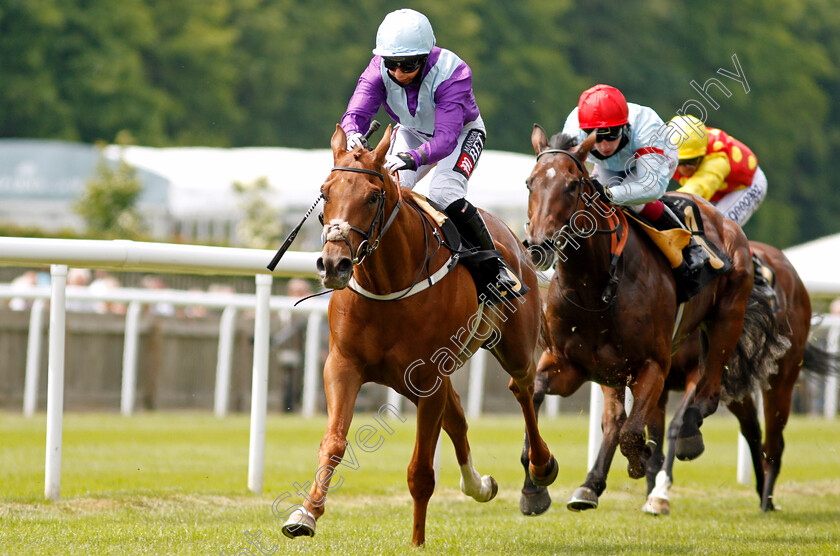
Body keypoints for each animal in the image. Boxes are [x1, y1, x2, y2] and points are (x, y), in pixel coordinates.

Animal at [282, 124, 556, 544]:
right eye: (326, 192)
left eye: (372, 196)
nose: (333, 264)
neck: (389, 283)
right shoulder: (344, 365)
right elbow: (333, 443)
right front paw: (306, 514)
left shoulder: (429, 378)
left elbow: (421, 472)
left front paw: (417, 541)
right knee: (458, 416)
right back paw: (479, 485)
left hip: (514, 347)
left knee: (523, 390)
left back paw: (540, 470)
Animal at [520, 125, 784, 512]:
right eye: (530, 182)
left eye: (572, 184)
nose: (540, 245)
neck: (593, 289)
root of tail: (725, 224)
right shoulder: (567, 363)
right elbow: (536, 403)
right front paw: (535, 483)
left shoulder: (653, 366)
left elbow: (633, 433)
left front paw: (644, 461)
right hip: (612, 370)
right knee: (614, 419)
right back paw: (590, 486)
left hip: (727, 317)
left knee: (709, 392)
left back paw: (689, 436)